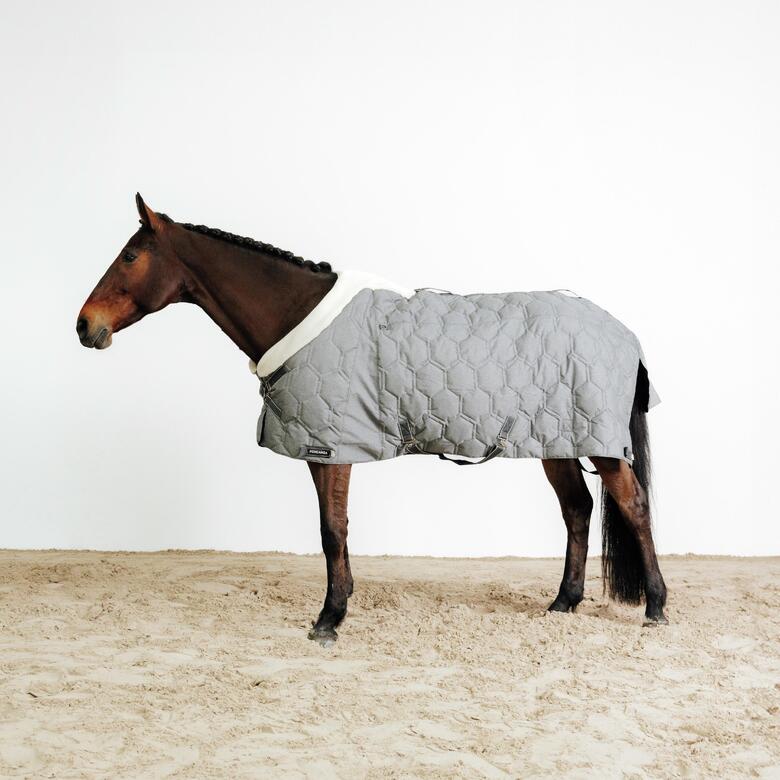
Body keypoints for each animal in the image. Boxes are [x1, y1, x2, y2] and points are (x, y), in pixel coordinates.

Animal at [77, 194, 667, 643]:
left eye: (130, 256)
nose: (85, 326)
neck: (297, 316)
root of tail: (623, 331)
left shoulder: (330, 449)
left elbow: (332, 531)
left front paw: (329, 618)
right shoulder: (326, 448)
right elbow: (331, 530)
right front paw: (337, 607)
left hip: (598, 442)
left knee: (633, 506)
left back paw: (655, 607)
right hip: (555, 438)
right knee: (578, 508)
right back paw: (564, 602)